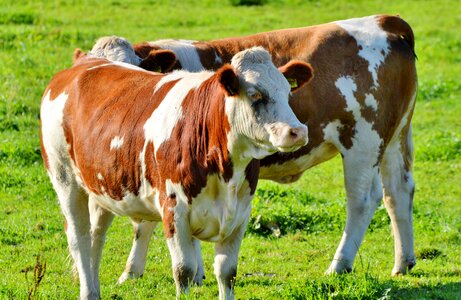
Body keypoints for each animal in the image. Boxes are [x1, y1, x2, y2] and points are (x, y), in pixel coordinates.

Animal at [39, 45, 312, 298]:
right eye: (255, 94)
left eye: (288, 92)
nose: (297, 131)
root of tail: (82, 64)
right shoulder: (174, 210)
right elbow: (184, 271)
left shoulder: (240, 213)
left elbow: (227, 272)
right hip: (64, 178)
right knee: (80, 238)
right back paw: (88, 291)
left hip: (103, 184)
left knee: (96, 235)